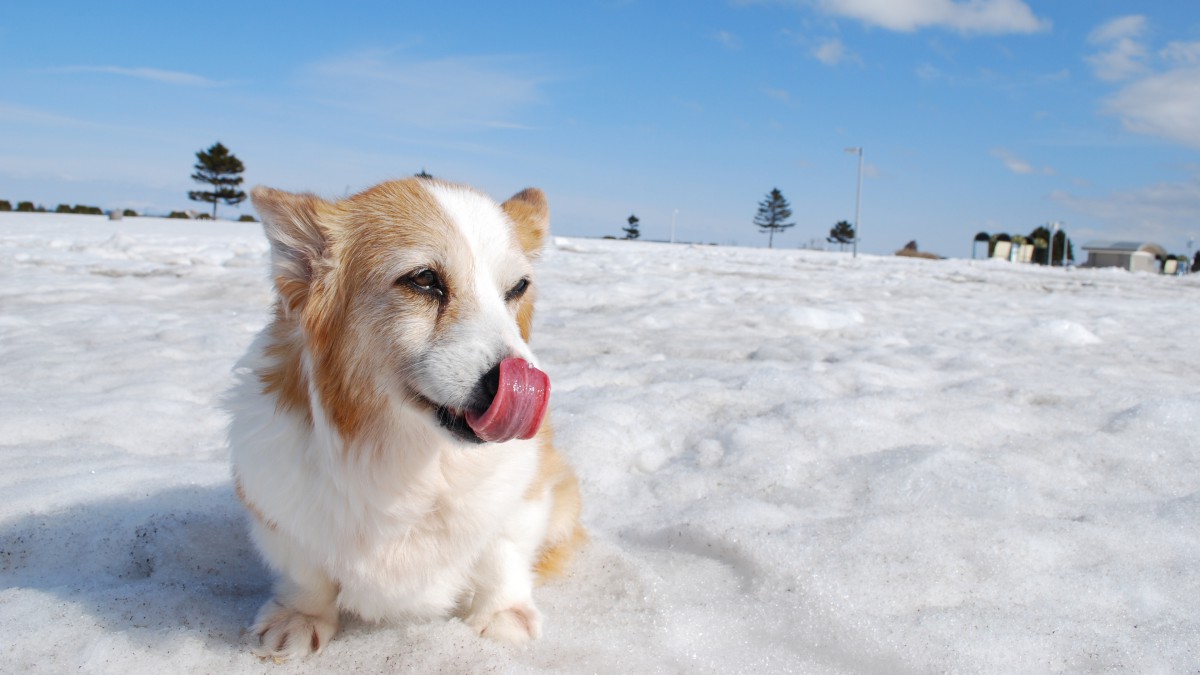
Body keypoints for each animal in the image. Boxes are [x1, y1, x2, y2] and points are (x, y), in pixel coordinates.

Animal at [228, 177, 585, 658]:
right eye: (424, 280)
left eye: (518, 287)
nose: (523, 385)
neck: (415, 461)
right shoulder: (278, 512)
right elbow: (306, 573)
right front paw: (299, 618)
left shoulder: (524, 497)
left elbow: (501, 555)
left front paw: (502, 616)